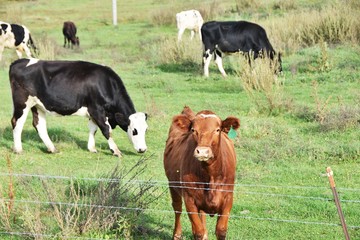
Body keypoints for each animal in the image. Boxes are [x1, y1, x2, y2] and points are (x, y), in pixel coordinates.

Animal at [9, 57, 148, 157]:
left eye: (146, 130)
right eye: (134, 131)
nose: (143, 149)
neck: (106, 84)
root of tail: (19, 62)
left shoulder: (93, 112)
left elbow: (93, 129)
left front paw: (92, 148)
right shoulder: (97, 110)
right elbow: (106, 130)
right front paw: (116, 151)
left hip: (38, 105)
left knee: (39, 125)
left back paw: (52, 149)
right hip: (22, 103)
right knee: (17, 122)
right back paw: (18, 149)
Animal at [163, 107, 239, 240]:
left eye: (217, 130)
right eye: (193, 130)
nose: (202, 151)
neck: (211, 175)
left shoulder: (228, 198)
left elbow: (221, 230)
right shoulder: (189, 199)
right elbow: (197, 231)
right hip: (172, 185)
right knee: (177, 208)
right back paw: (177, 234)